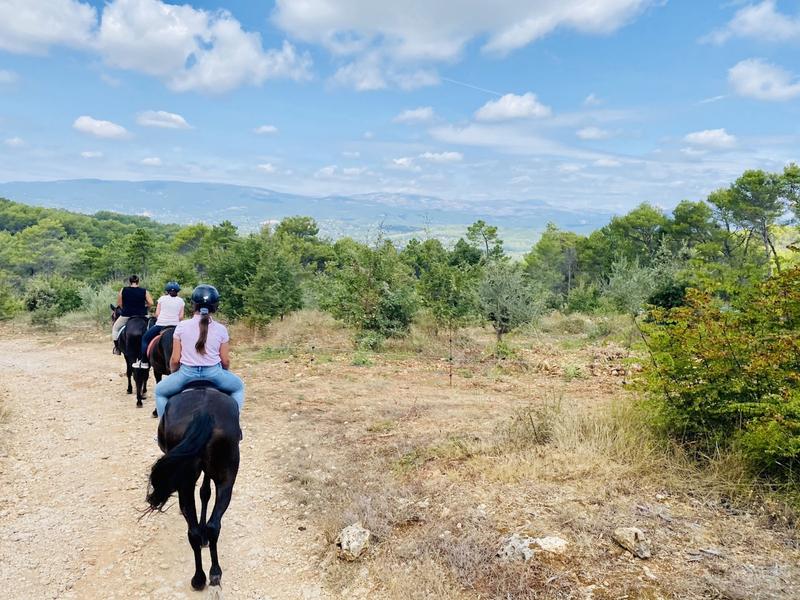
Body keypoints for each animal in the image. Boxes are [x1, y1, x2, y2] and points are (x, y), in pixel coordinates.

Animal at [146, 385, 241, 591]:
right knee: (212, 526)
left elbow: (204, 493)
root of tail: (203, 413)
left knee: (194, 529)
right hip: (226, 477)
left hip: (186, 483)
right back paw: (214, 572)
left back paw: (198, 578)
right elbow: (205, 492)